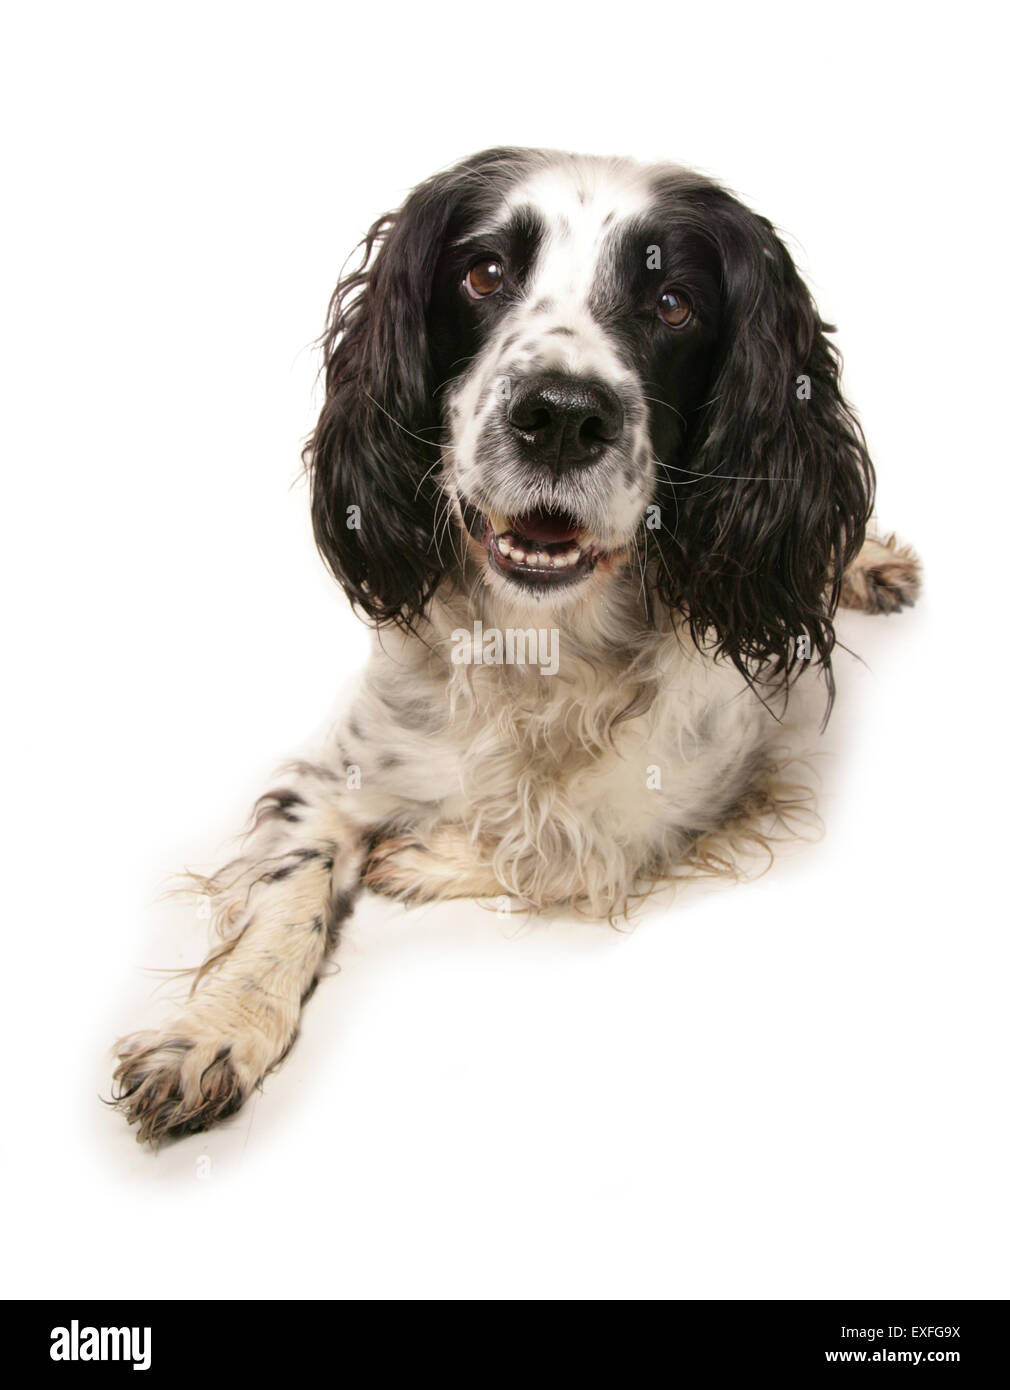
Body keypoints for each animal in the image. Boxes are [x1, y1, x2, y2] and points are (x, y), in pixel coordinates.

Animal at [114, 146, 922, 1139]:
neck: (545, 648)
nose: (563, 416)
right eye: (485, 273)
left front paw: (428, 854)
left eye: (673, 302)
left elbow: (563, 844)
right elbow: (288, 892)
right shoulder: (337, 775)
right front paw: (211, 1032)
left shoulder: (693, 793)